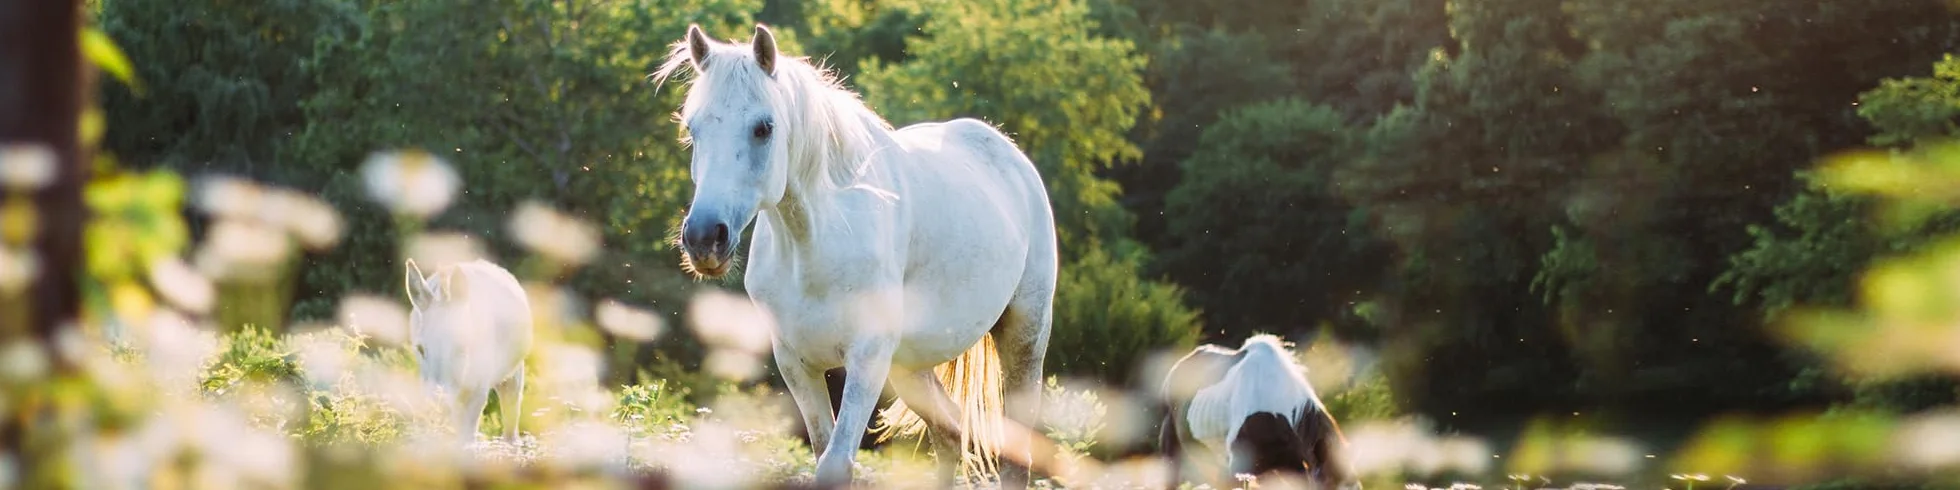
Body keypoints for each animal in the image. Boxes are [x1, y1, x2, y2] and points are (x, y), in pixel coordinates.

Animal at [403, 258, 535, 445]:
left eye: (462, 346)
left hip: (512, 376)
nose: (437, 405)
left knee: (511, 425)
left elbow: (466, 441)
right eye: (420, 349)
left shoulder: (477, 394)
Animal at [649, 24, 1061, 488]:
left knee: (1014, 456)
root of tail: (1009, 154)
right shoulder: (796, 363)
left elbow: (835, 464)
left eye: (764, 127)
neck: (815, 248)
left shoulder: (866, 358)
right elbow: (821, 450)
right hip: (908, 366)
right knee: (949, 434)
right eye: (693, 128)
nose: (705, 238)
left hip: (1024, 335)